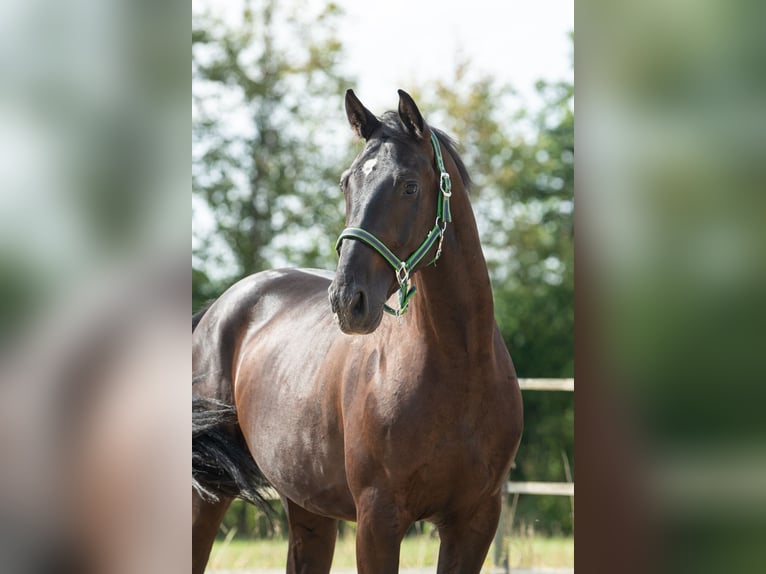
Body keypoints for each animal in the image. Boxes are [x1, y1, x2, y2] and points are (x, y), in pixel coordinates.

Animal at [192, 89, 523, 573]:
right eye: (346, 183)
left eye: (409, 185)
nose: (348, 301)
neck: (459, 369)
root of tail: (214, 312)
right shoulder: (378, 521)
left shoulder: (474, 521)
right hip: (208, 494)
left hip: (307, 508)